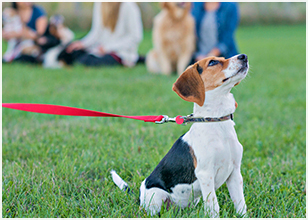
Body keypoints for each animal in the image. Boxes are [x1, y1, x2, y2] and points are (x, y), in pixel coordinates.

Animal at [112, 53, 249, 217]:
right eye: (213, 62)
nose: (243, 56)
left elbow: (240, 204)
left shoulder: (235, 173)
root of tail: (139, 198)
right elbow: (213, 207)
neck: (216, 121)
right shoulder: (205, 174)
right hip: (156, 195)